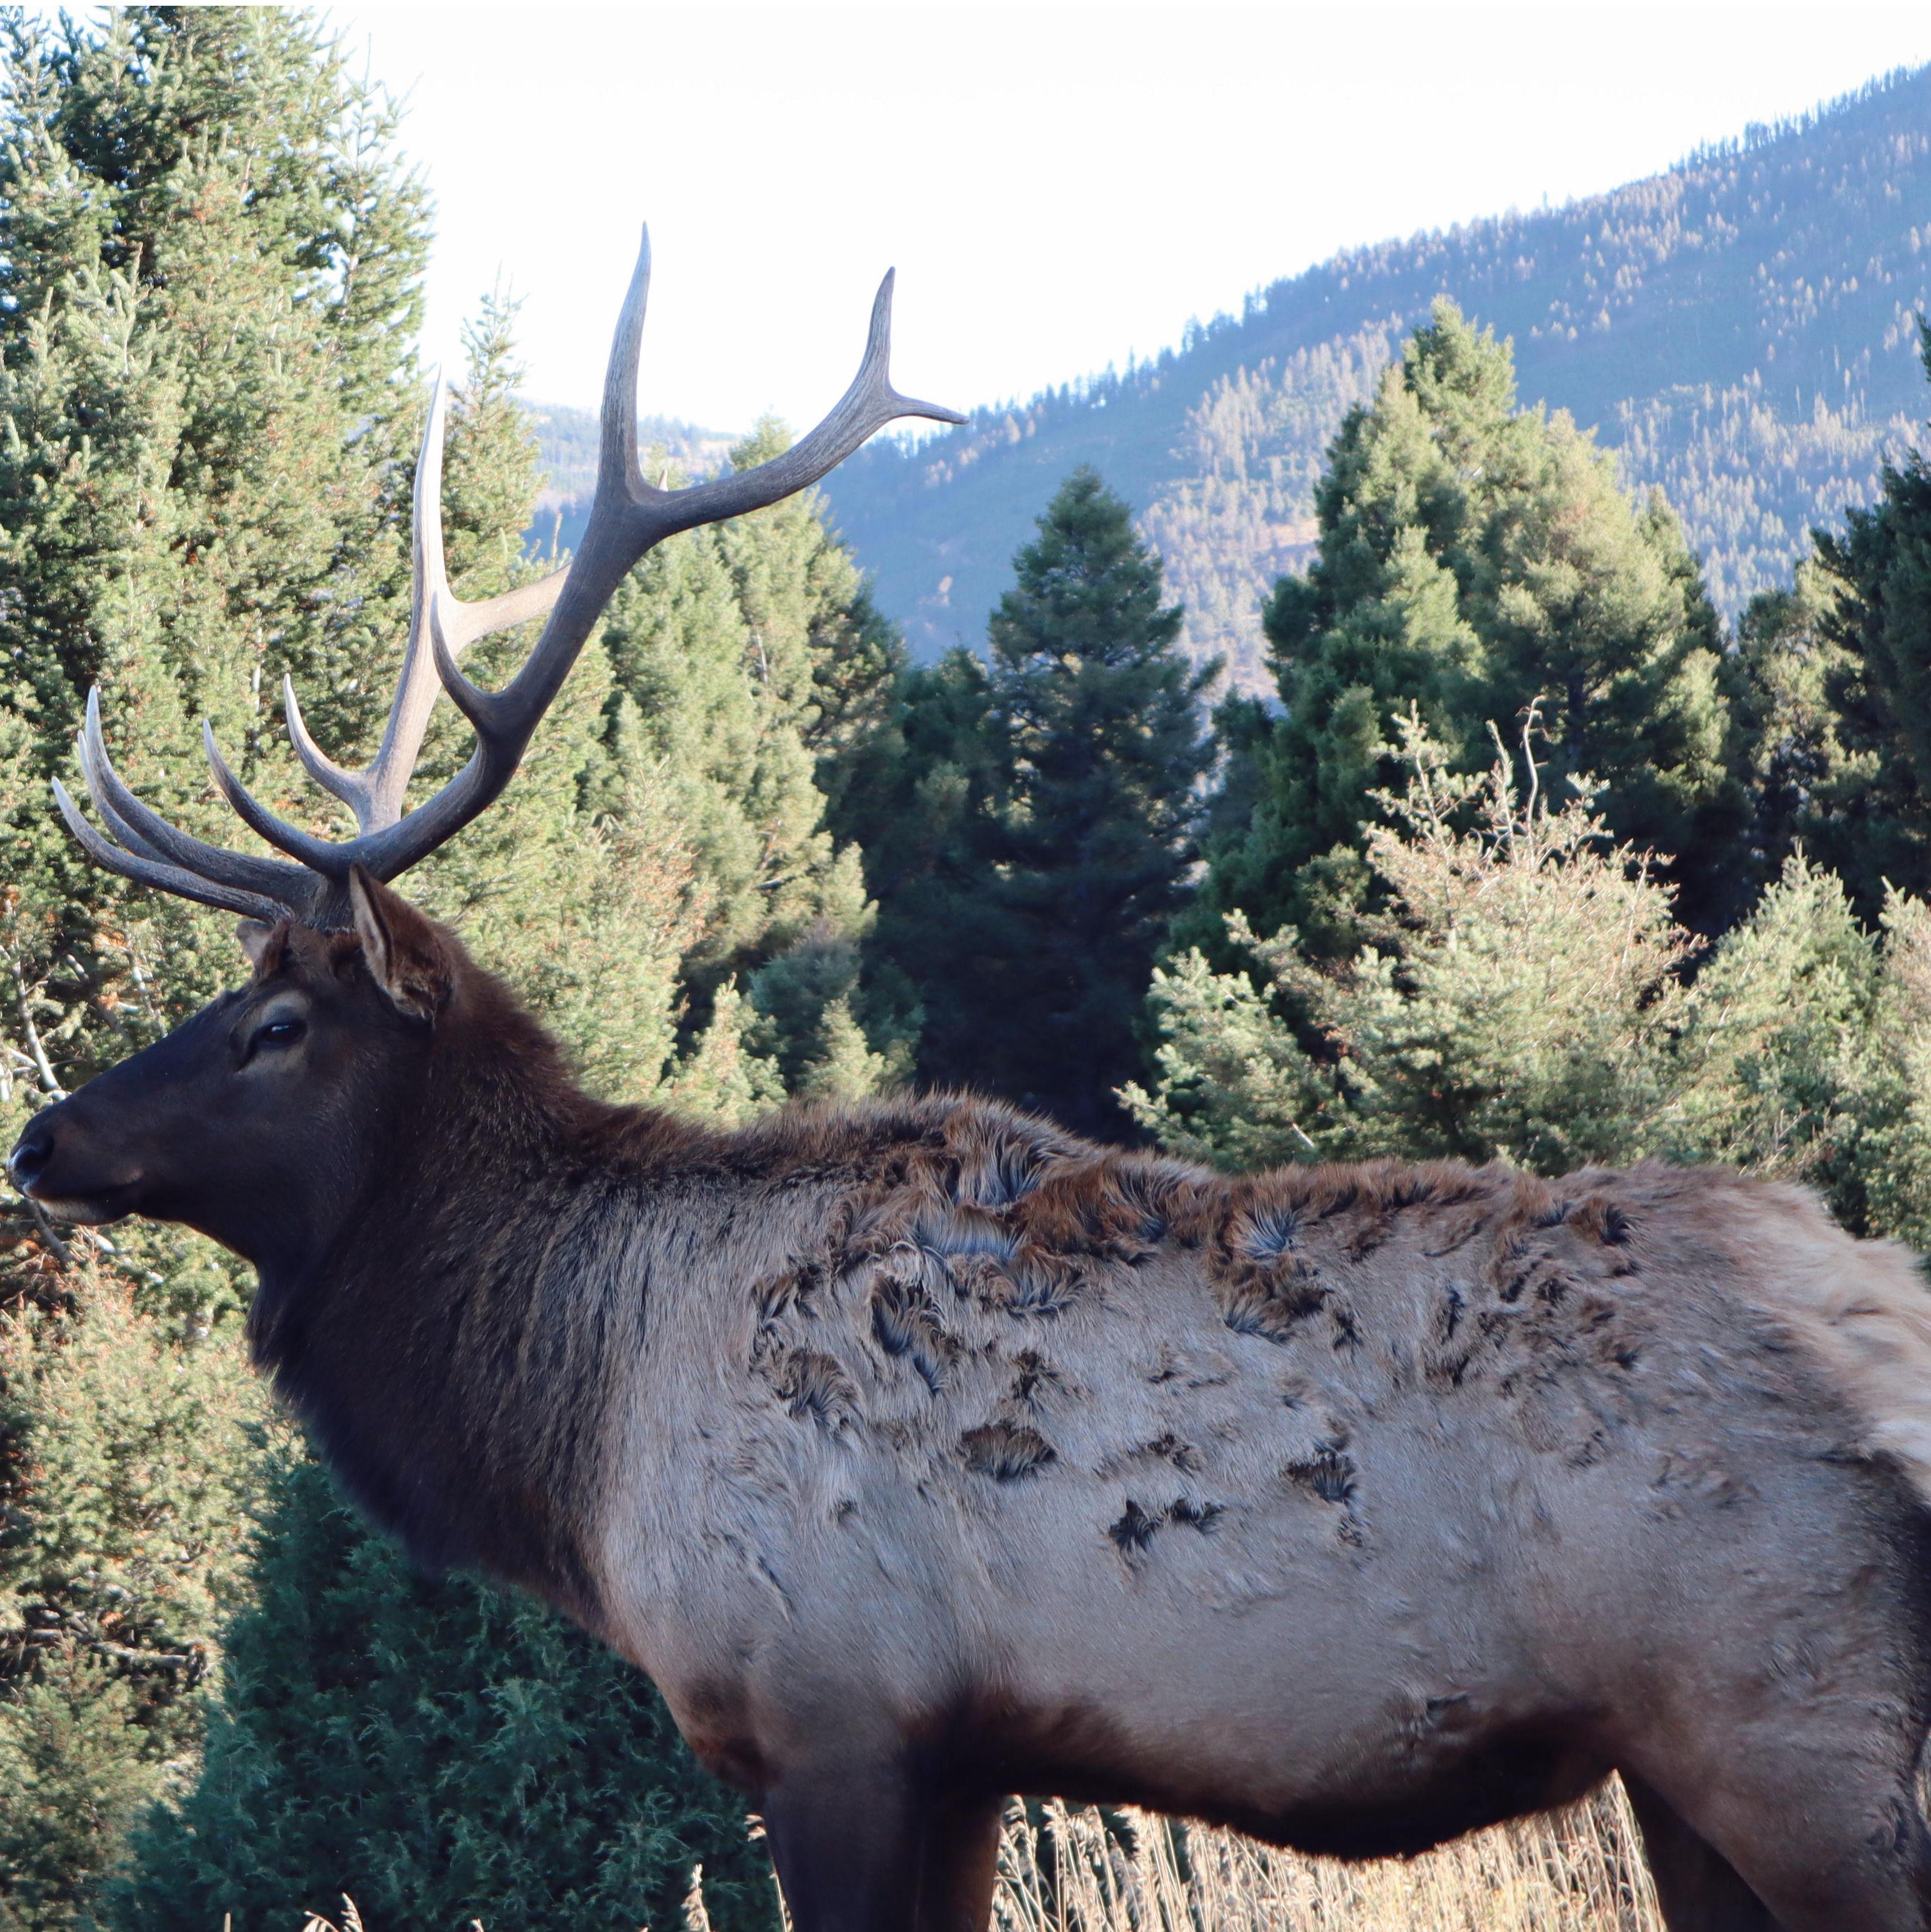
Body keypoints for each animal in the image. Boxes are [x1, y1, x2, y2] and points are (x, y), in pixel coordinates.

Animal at [11, 229, 1931, 1932]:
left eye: (277, 1026)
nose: (43, 1135)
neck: (575, 1424)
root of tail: (1877, 1318)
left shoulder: (834, 1711)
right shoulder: (963, 1759)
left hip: (1799, 1729)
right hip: (1680, 1767)